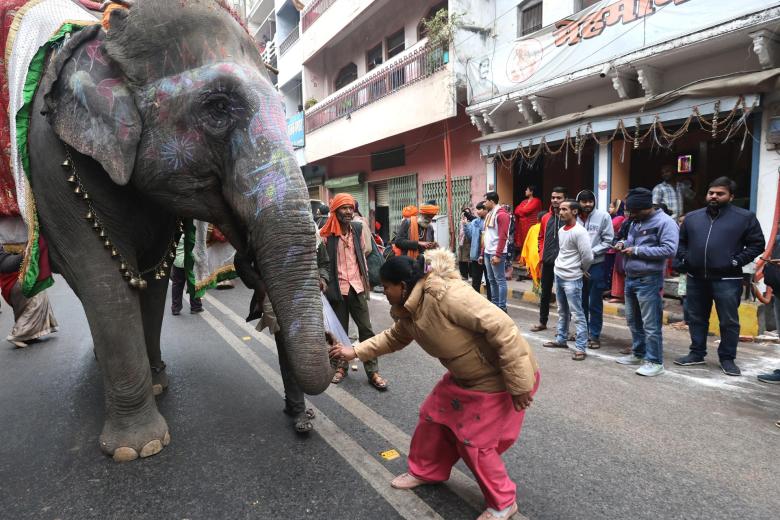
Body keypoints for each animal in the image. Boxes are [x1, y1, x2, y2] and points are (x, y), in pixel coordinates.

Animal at [26, 1, 332, 464]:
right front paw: (139, 448)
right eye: (218, 107)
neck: (108, 34)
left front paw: (158, 385)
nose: (303, 419)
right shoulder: (51, 161)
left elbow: (151, 276)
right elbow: (103, 280)